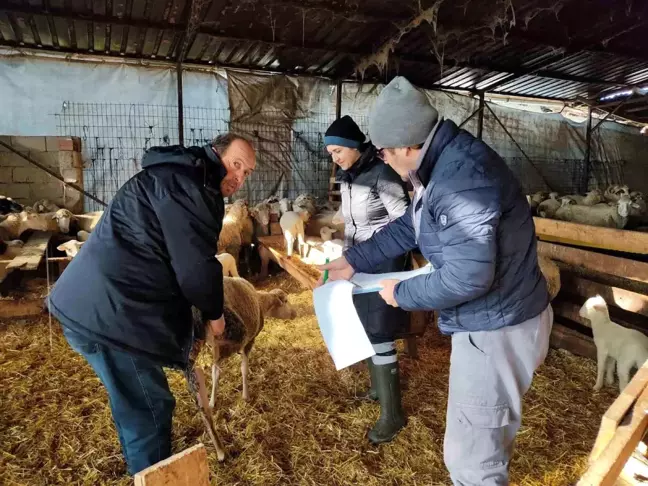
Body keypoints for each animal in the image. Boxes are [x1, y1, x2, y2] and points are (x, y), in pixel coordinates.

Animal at [186, 278, 298, 460]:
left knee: (201, 403)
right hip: (229, 332)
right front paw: (245, 396)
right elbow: (243, 368)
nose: (295, 313)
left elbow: (216, 374)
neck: (260, 302)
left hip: (190, 355)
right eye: (286, 301)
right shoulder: (248, 342)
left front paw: (213, 400)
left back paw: (219, 449)